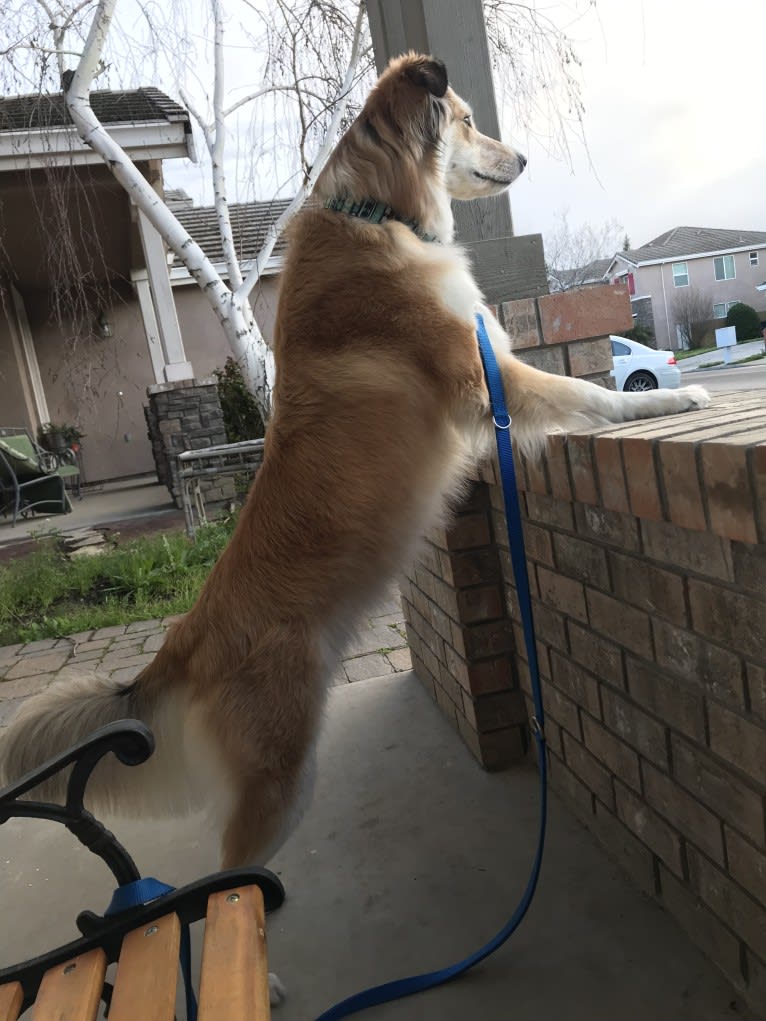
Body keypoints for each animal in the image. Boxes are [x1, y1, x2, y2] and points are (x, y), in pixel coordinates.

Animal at [0, 51, 710, 873]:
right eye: (468, 120)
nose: (524, 159)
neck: (380, 216)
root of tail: (186, 638)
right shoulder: (487, 381)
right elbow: (591, 396)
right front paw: (670, 399)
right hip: (277, 775)